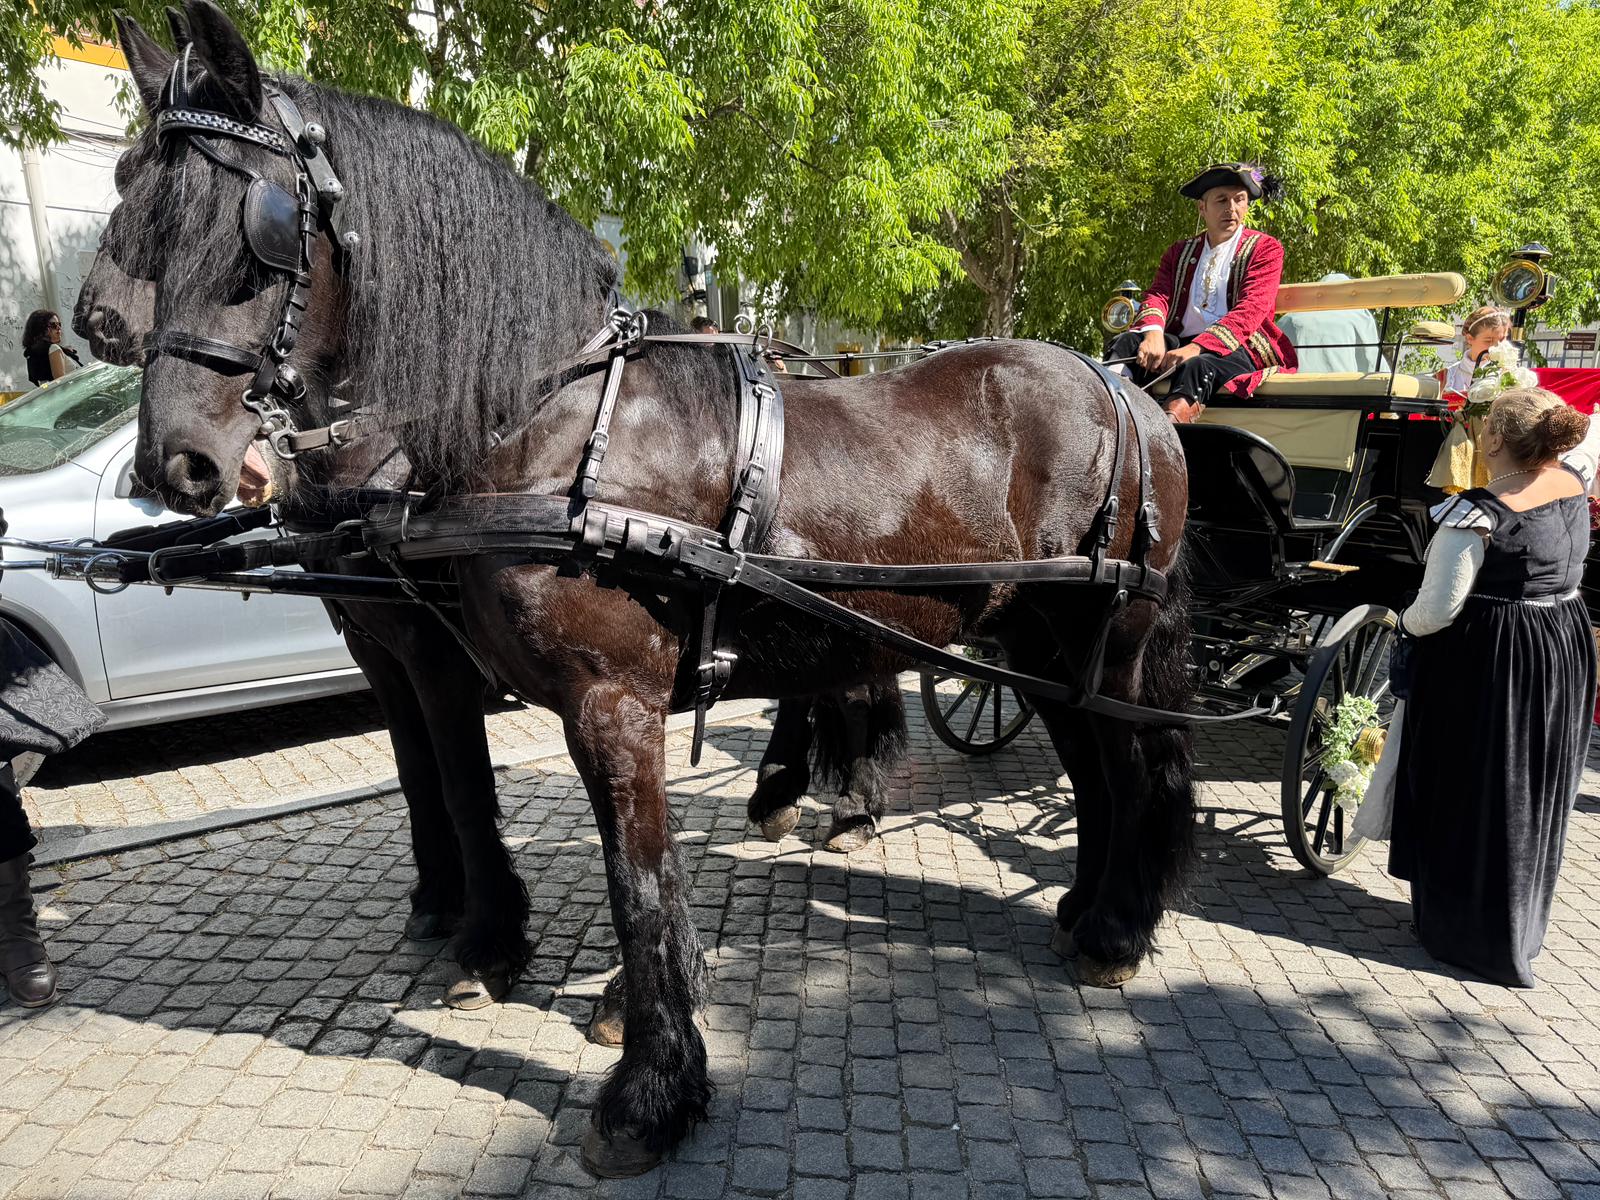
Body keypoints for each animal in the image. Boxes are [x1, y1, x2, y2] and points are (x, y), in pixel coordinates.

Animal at [107, 2, 1195, 1175]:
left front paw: (646, 1093)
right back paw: (1083, 908)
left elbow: (627, 877)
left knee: (1130, 768)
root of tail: (1125, 390)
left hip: (1107, 638)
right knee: (1089, 765)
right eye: (144, 223)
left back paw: (1118, 929)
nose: (176, 466)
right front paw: (616, 1009)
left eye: (257, 232)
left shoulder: (604, 701)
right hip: (1035, 641)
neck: (553, 428)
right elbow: (601, 855)